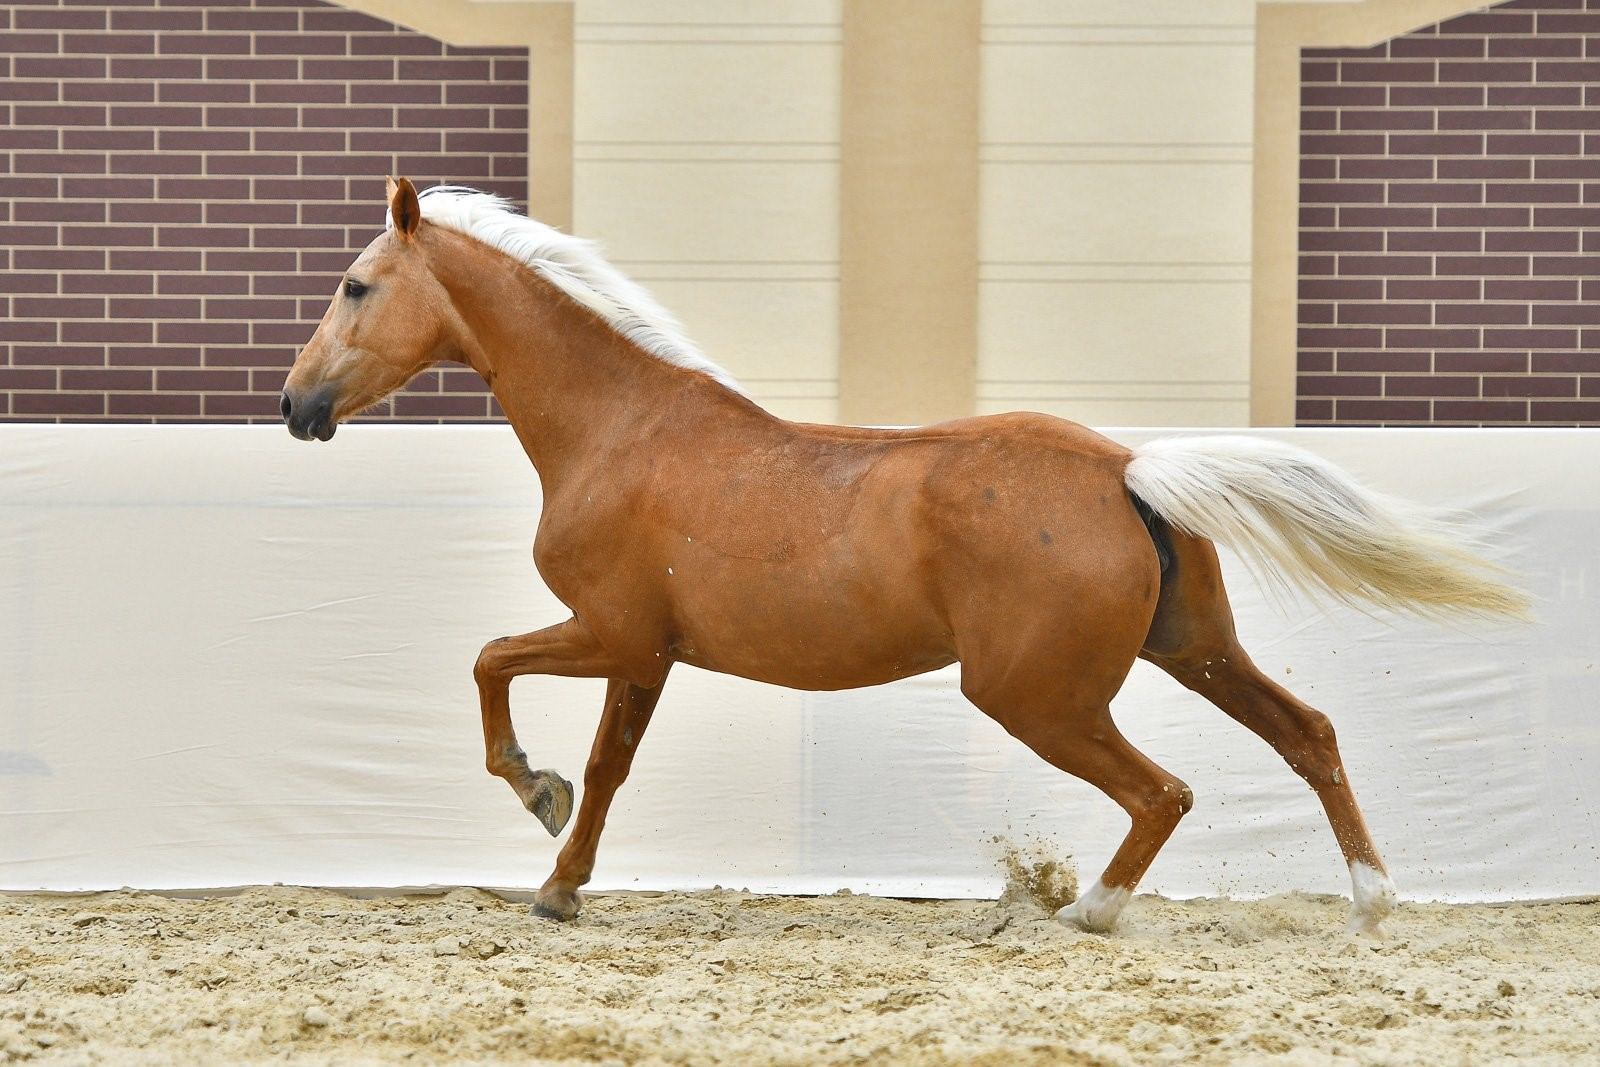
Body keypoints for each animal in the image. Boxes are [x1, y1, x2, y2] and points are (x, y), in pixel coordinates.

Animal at [281, 177, 1529, 934]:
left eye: (355, 284)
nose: (296, 406)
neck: (620, 429)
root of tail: (1126, 467)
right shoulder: (647, 653)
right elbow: (608, 763)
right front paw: (558, 882)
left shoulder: (614, 632)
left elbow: (495, 665)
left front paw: (535, 804)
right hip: (1192, 650)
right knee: (1306, 732)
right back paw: (1369, 900)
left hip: (1034, 695)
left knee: (1164, 789)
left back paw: (1087, 910)